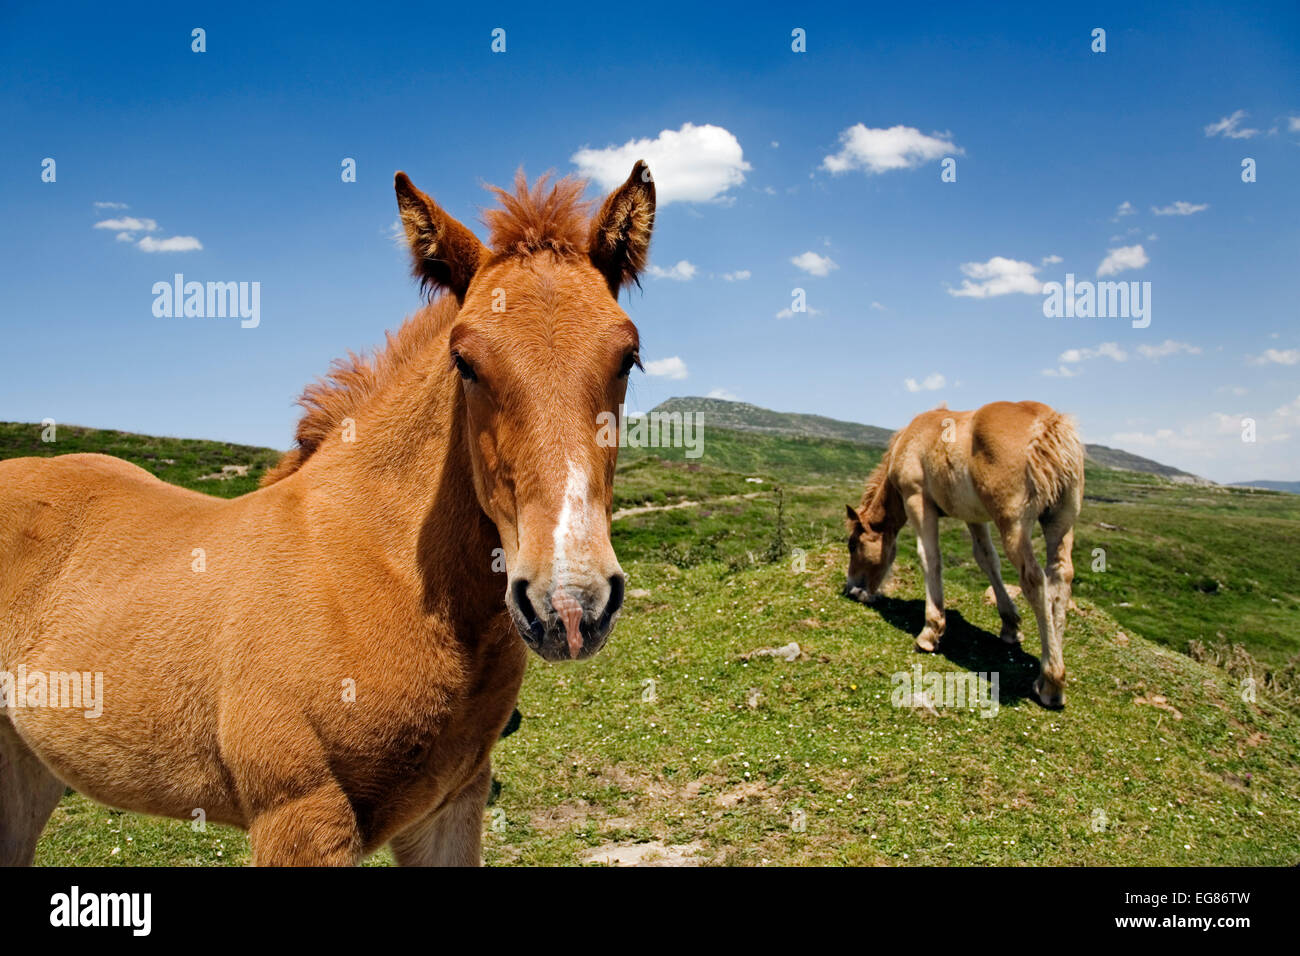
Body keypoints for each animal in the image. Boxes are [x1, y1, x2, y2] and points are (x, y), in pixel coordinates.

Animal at [0, 160, 655, 863]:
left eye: (628, 356)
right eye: (464, 361)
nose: (569, 604)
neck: (376, 568)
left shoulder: (452, 805)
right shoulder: (301, 819)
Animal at [842, 400, 1086, 707]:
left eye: (853, 545)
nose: (852, 588)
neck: (909, 440)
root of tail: (1049, 427)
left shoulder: (917, 498)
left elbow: (930, 557)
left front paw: (931, 630)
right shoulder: (974, 516)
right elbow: (987, 559)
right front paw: (1010, 625)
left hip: (1014, 526)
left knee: (1033, 579)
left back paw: (1051, 681)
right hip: (1060, 523)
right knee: (1061, 578)